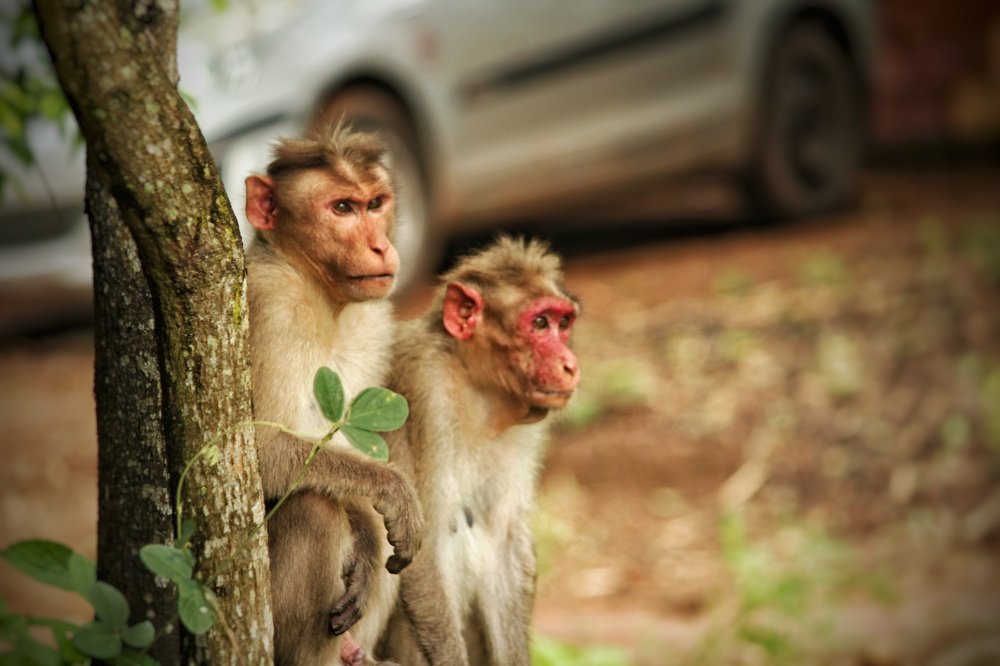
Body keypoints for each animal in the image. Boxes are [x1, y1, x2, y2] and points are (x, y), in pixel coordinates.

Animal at [244, 125, 422, 666]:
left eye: (376, 203)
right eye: (342, 207)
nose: (381, 247)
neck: (321, 294)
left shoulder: (376, 319)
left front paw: (365, 533)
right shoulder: (269, 303)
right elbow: (265, 452)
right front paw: (393, 491)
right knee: (314, 512)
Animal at [376, 236, 581, 666]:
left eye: (564, 323)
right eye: (540, 324)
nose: (570, 365)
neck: (473, 384)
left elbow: (503, 542)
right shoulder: (424, 388)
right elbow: (424, 543)